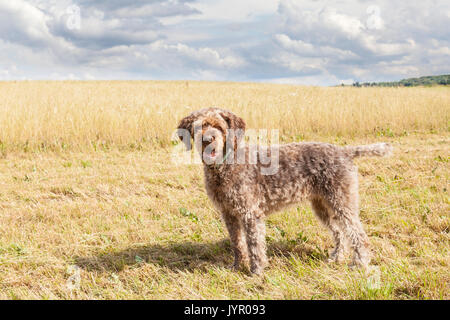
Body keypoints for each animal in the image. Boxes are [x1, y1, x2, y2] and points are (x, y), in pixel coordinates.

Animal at [178, 107, 392, 276]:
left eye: (220, 127)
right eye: (199, 127)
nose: (208, 139)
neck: (225, 166)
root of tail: (345, 152)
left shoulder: (250, 213)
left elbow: (254, 244)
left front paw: (256, 271)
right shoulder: (229, 214)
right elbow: (237, 244)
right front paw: (237, 267)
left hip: (342, 202)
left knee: (359, 236)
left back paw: (359, 264)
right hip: (323, 206)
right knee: (339, 232)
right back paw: (336, 257)